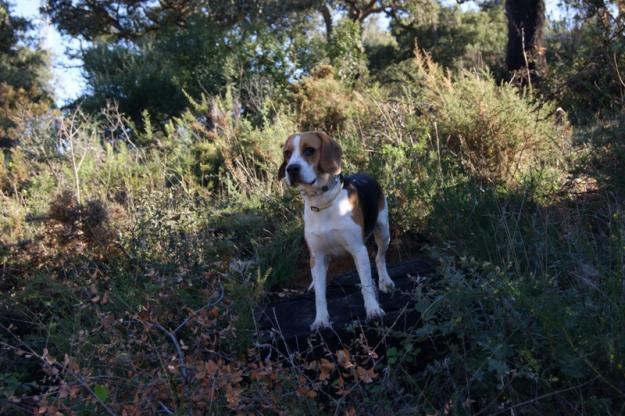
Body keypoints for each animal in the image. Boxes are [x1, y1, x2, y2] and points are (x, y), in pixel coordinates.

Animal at [280, 132, 394, 330]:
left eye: (309, 150)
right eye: (287, 153)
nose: (291, 169)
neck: (322, 202)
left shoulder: (358, 250)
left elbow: (366, 284)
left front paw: (373, 310)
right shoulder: (317, 255)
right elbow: (320, 295)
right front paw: (320, 320)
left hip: (383, 232)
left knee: (380, 257)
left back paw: (385, 282)